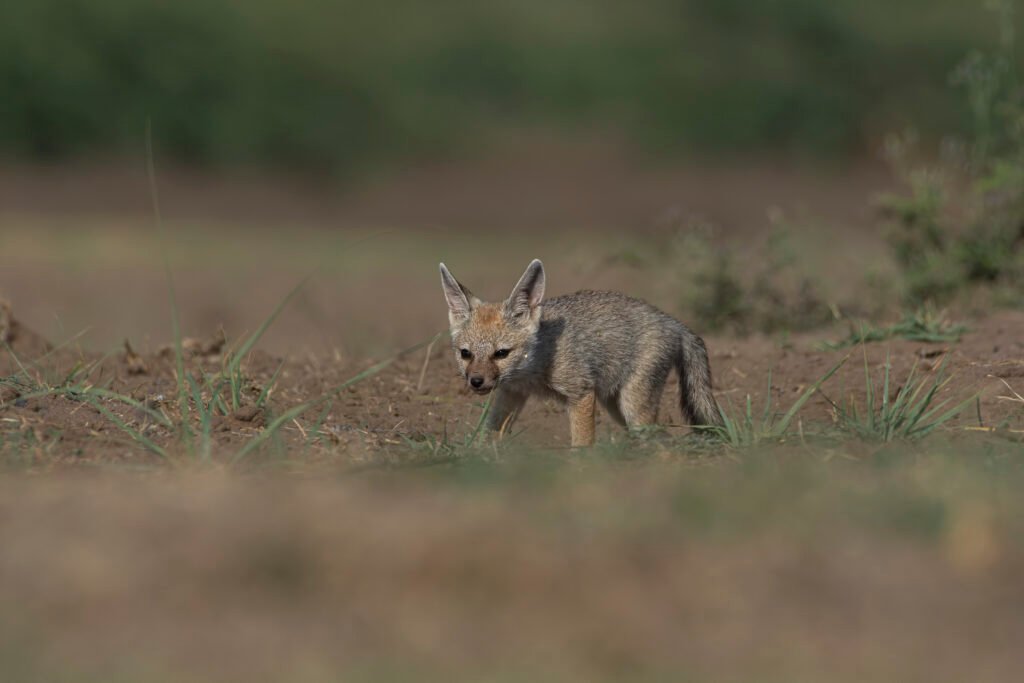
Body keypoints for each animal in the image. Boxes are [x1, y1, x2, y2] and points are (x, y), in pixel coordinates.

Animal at [439, 259, 721, 447]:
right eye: (465, 353)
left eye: (501, 353)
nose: (476, 381)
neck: (538, 360)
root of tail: (672, 321)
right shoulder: (512, 393)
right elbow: (489, 433)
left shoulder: (581, 393)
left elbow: (582, 445)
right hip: (617, 408)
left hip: (633, 409)